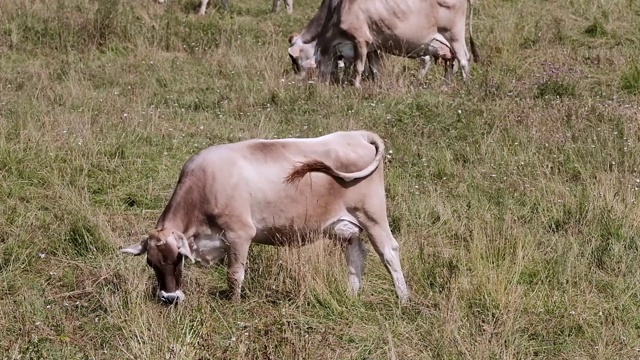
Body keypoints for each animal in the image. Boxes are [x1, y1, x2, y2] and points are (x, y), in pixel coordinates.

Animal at [120, 131, 410, 306]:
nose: (169, 298)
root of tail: (357, 134)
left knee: (389, 252)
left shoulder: (239, 234)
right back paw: (351, 295)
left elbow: (234, 274)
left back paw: (404, 299)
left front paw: (234, 304)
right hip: (345, 227)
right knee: (356, 255)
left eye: (178, 258)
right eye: (151, 263)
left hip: (372, 215)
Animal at [312, 0, 480, 87]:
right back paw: (445, 86)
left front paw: (356, 86)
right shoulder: (372, 45)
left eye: (317, 64)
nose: (320, 84)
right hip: (446, 43)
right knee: (452, 62)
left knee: (463, 59)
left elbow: (359, 67)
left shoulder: (361, 39)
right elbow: (375, 67)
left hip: (455, 35)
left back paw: (465, 86)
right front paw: (378, 84)